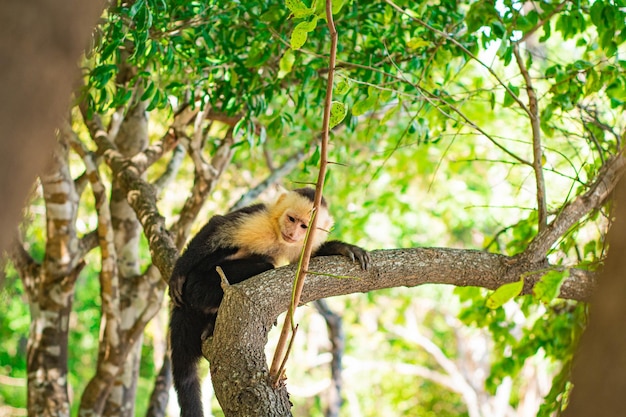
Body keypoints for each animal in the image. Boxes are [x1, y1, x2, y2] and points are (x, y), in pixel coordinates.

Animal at [168, 188, 368, 416]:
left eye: (304, 226)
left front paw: (341, 248)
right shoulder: (257, 219)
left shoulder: (302, 244)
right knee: (258, 264)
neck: (278, 236)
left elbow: (304, 263)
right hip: (200, 280)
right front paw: (178, 273)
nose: (292, 232)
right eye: (291, 219)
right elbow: (216, 226)